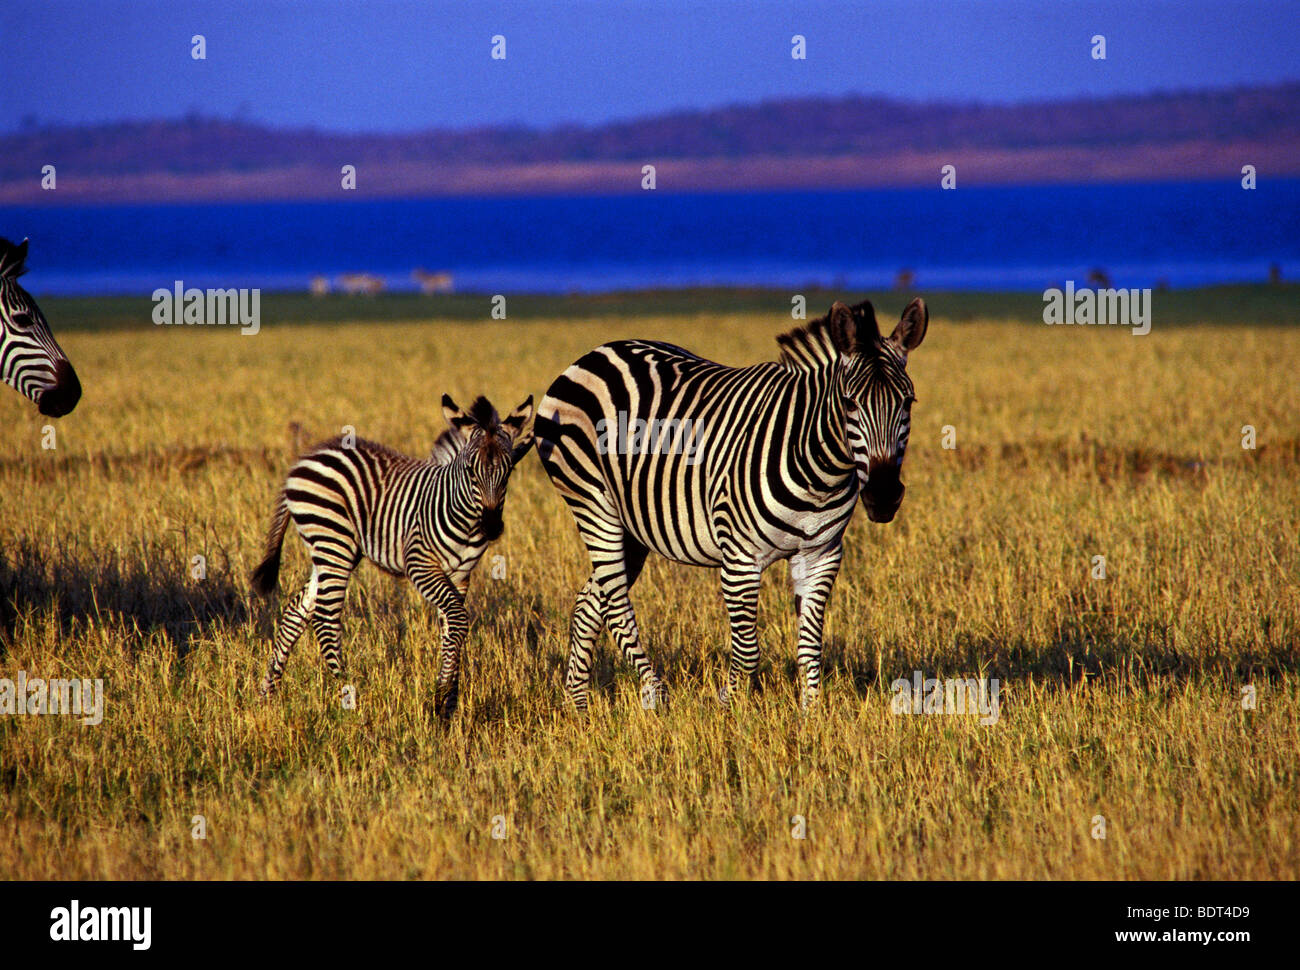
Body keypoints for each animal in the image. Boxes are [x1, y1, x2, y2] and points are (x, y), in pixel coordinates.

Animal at [248, 390, 533, 712]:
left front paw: (446, 701)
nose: (492, 527)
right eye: (471, 470)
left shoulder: (460, 575)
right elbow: (458, 619)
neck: (462, 514)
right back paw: (349, 692)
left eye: (509, 471)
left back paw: (268, 691)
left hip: (330, 547)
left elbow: (451, 627)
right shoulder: (420, 565)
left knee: (298, 610)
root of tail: (306, 458)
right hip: (334, 541)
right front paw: (442, 696)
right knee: (325, 616)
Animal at [533, 296, 930, 712]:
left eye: (908, 402)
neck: (819, 471)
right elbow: (748, 650)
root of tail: (595, 353)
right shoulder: (740, 560)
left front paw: (811, 714)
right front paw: (730, 709)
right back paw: (654, 693)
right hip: (594, 505)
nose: (883, 496)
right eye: (850, 403)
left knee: (591, 603)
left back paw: (577, 704)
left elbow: (810, 647)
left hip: (634, 527)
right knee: (617, 605)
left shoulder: (821, 555)